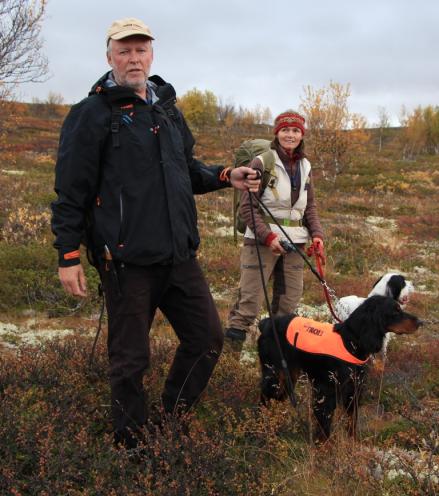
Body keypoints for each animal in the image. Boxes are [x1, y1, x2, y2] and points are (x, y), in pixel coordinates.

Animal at [258, 296, 422, 444]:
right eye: (395, 311)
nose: (421, 322)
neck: (350, 342)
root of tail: (265, 323)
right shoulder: (326, 391)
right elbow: (324, 427)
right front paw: (323, 449)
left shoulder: (354, 390)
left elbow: (351, 423)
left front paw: (353, 445)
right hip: (274, 375)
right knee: (263, 400)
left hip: (288, 376)